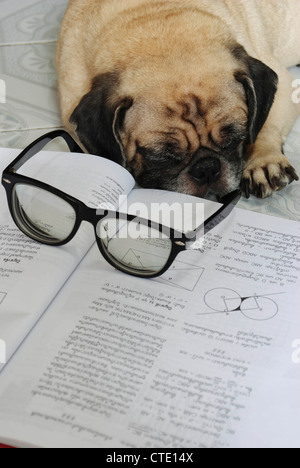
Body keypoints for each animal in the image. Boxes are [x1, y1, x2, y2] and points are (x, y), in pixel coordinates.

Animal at [56, 0, 300, 199]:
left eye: (234, 139)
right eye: (161, 156)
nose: (207, 168)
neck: (155, 19)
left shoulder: (284, 86)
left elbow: (264, 125)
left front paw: (264, 160)